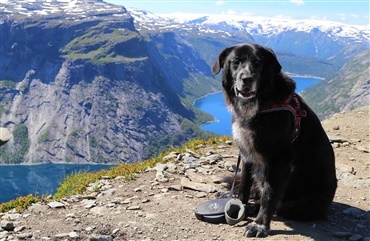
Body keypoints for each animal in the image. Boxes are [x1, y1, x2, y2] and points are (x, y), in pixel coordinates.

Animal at [212, 42, 336, 237]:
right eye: (235, 62)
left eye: (258, 62)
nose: (247, 79)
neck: (261, 104)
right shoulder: (247, 155)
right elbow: (244, 186)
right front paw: (238, 206)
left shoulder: (279, 162)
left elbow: (269, 197)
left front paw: (260, 224)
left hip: (302, 204)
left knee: (278, 205)